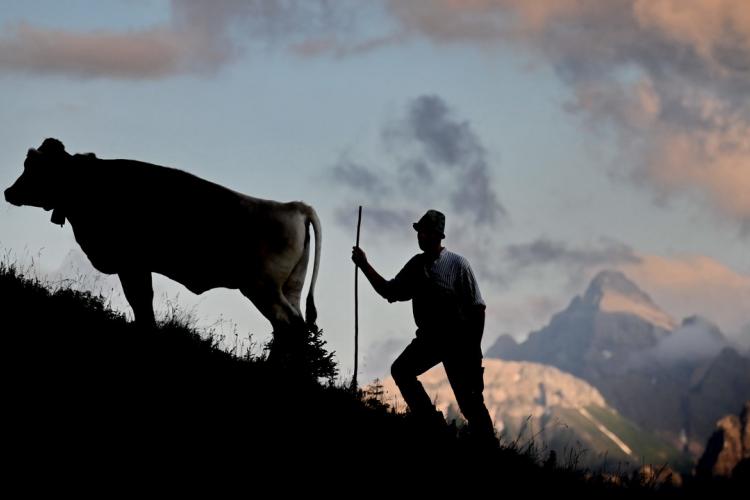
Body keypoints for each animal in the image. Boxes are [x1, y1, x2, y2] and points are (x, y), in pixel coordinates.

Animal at [5, 139, 324, 344]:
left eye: (34, 167)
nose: (8, 192)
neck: (91, 185)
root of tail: (293, 206)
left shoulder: (131, 263)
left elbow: (141, 301)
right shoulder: (137, 265)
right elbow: (143, 302)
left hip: (263, 288)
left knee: (290, 328)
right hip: (290, 288)